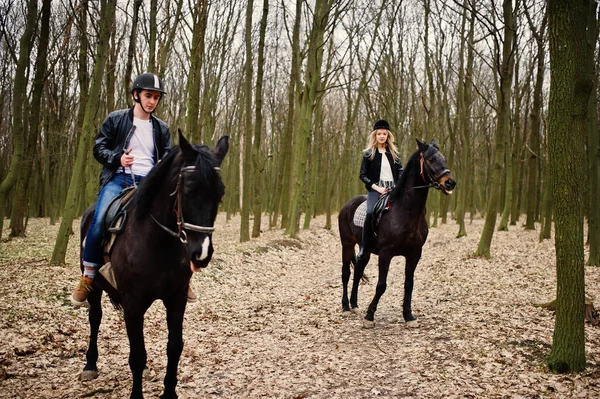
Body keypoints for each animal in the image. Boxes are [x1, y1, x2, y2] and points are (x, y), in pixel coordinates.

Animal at [78, 130, 229, 396]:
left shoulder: (176, 299)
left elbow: (174, 346)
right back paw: (90, 364)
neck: (158, 242)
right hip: (95, 287)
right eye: (189, 190)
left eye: (220, 194)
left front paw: (169, 393)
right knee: (95, 317)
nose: (201, 254)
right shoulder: (133, 302)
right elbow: (136, 355)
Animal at [338, 140, 454, 328]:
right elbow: (381, 285)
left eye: (444, 158)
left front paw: (409, 316)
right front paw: (370, 316)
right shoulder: (386, 253)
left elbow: (409, 284)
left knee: (357, 272)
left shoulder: (414, 254)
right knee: (346, 273)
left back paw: (354, 305)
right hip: (347, 244)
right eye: (430, 159)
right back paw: (346, 307)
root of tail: (348, 204)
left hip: (366, 250)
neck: (405, 211)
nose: (450, 183)